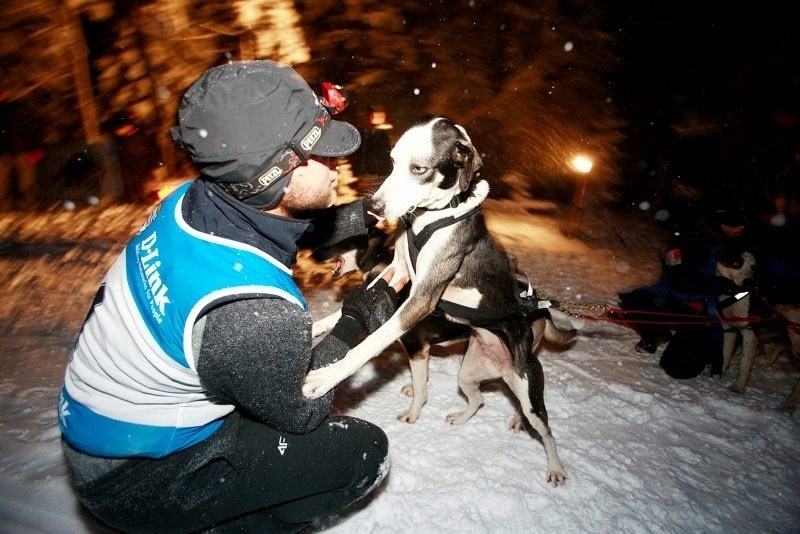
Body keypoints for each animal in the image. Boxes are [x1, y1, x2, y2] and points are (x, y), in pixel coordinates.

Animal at [304, 118, 576, 490]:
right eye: (392, 162)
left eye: (420, 169)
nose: (374, 208)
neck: (432, 217)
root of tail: (536, 305)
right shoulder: (398, 270)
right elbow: (350, 310)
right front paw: (316, 327)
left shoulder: (422, 298)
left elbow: (371, 345)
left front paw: (327, 376)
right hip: (470, 374)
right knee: (479, 399)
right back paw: (462, 417)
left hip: (528, 390)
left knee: (545, 431)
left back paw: (555, 466)